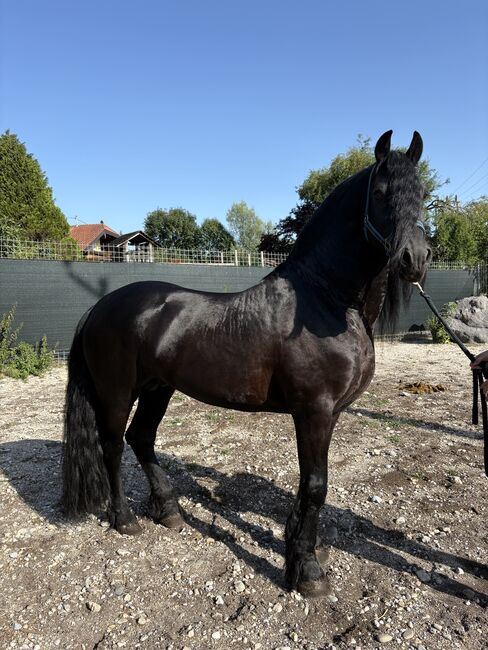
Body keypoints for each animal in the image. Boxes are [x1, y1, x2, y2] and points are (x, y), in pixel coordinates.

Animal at [63, 130, 431, 597]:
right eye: (381, 193)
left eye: (423, 194)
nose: (414, 258)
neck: (324, 300)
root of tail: (99, 307)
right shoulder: (314, 411)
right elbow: (316, 485)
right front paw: (306, 571)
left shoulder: (328, 414)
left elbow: (310, 487)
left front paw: (303, 548)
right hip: (116, 392)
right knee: (111, 445)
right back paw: (125, 519)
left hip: (158, 389)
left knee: (141, 438)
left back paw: (168, 511)